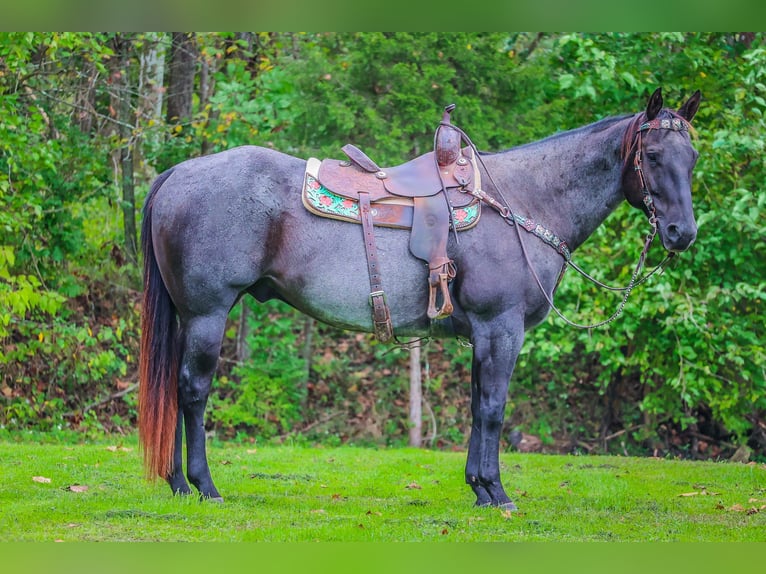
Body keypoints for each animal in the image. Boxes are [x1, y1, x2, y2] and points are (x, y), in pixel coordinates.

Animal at [138, 87, 701, 509]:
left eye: (692, 157)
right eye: (653, 156)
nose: (682, 233)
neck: (523, 200)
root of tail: (178, 172)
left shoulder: (482, 335)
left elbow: (476, 406)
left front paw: (479, 488)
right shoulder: (502, 328)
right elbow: (493, 408)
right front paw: (497, 493)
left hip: (192, 317)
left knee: (175, 389)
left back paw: (178, 483)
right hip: (208, 314)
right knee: (192, 391)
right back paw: (203, 485)